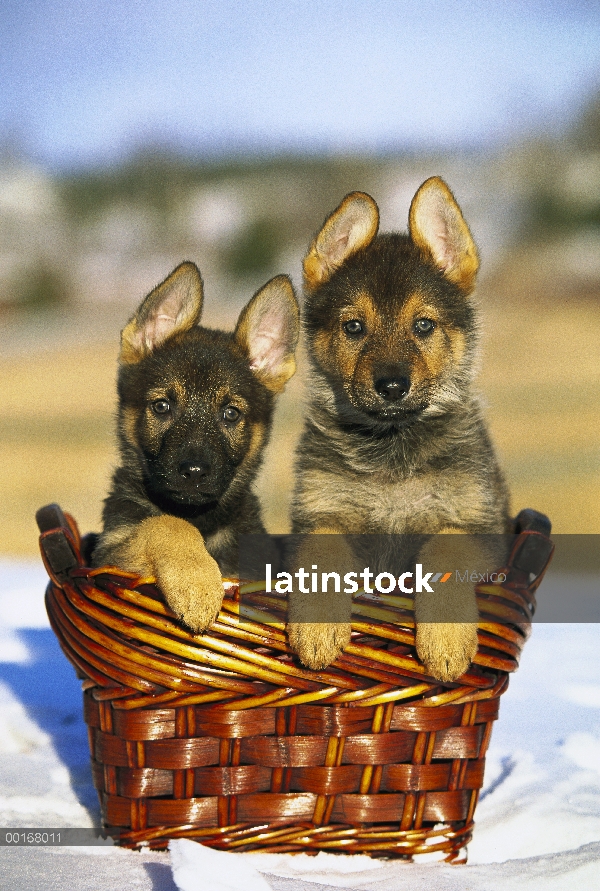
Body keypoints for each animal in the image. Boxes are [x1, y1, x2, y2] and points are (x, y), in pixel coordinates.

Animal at [92, 262, 298, 632]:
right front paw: (197, 583)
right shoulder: (109, 553)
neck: (201, 519)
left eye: (231, 414)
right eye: (162, 406)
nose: (194, 472)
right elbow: (166, 523)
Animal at [290, 181, 510, 684]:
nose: (391, 386)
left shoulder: (478, 526)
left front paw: (446, 644)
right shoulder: (318, 513)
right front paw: (317, 631)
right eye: (354, 327)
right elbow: (321, 550)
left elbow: (444, 551)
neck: (392, 449)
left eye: (423, 325)